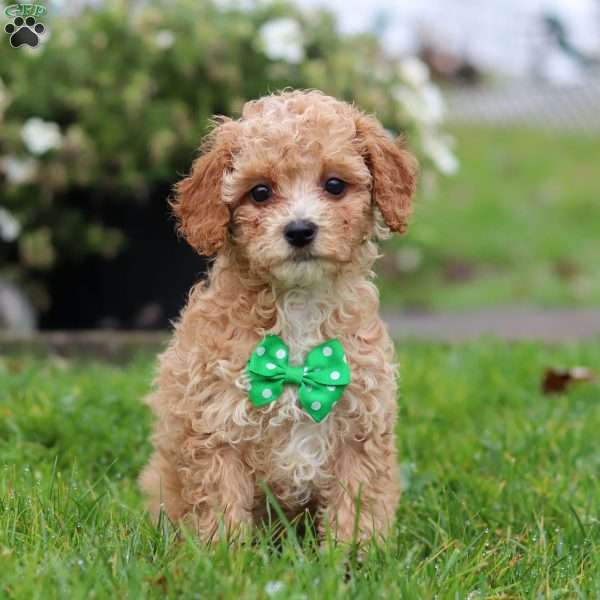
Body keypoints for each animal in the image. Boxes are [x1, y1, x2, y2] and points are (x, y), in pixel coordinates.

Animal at [139, 89, 418, 544]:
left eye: (334, 185)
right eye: (260, 192)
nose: (300, 230)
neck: (298, 306)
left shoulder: (359, 428)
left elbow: (354, 507)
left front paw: (351, 557)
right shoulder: (217, 428)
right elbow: (221, 507)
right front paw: (223, 557)